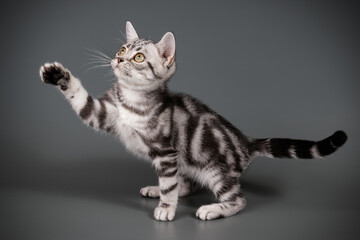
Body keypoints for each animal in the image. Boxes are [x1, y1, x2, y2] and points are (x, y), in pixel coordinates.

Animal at [40, 21, 348, 221]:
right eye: (122, 49)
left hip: (216, 170)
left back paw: (211, 209)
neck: (131, 99)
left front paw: (167, 208)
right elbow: (80, 97)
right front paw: (58, 75)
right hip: (188, 159)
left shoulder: (165, 151)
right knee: (185, 183)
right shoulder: (104, 114)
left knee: (236, 199)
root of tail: (246, 141)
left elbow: (170, 185)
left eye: (138, 57)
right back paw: (157, 189)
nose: (118, 60)